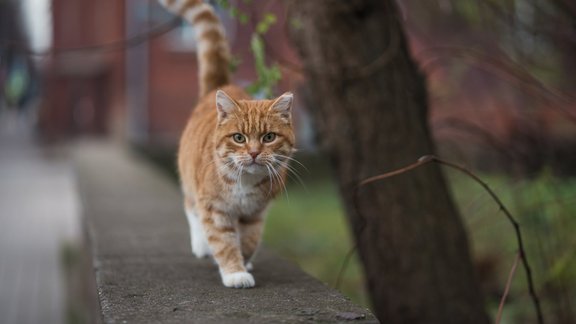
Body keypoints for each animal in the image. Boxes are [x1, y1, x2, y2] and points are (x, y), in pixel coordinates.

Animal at [160, 0, 294, 288]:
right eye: (239, 138)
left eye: (268, 137)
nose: (253, 153)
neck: (244, 181)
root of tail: (220, 85)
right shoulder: (215, 208)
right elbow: (223, 241)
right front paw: (234, 271)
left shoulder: (255, 212)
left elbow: (249, 240)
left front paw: (245, 260)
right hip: (191, 183)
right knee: (190, 207)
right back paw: (201, 245)